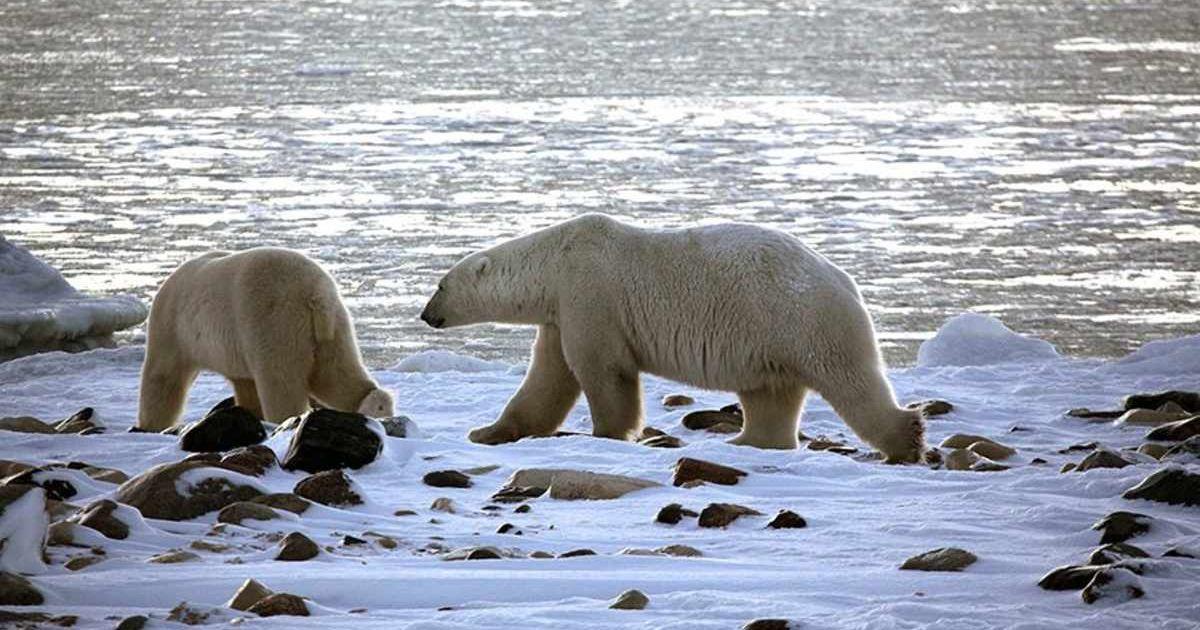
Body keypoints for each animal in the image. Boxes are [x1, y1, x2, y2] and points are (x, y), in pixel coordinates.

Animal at [136, 247, 393, 431]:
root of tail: (313, 293)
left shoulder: (172, 327)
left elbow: (163, 377)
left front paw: (150, 425)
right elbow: (246, 385)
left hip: (272, 320)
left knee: (280, 381)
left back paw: (286, 420)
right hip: (332, 328)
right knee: (336, 373)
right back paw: (378, 408)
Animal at [420, 214, 924, 463]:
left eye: (441, 285)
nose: (426, 315)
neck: (554, 259)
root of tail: (845, 281)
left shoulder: (590, 293)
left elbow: (603, 370)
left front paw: (608, 433)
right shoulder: (561, 313)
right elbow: (547, 378)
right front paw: (487, 431)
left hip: (802, 319)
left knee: (851, 382)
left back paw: (908, 440)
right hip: (770, 340)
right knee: (771, 395)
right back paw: (747, 442)